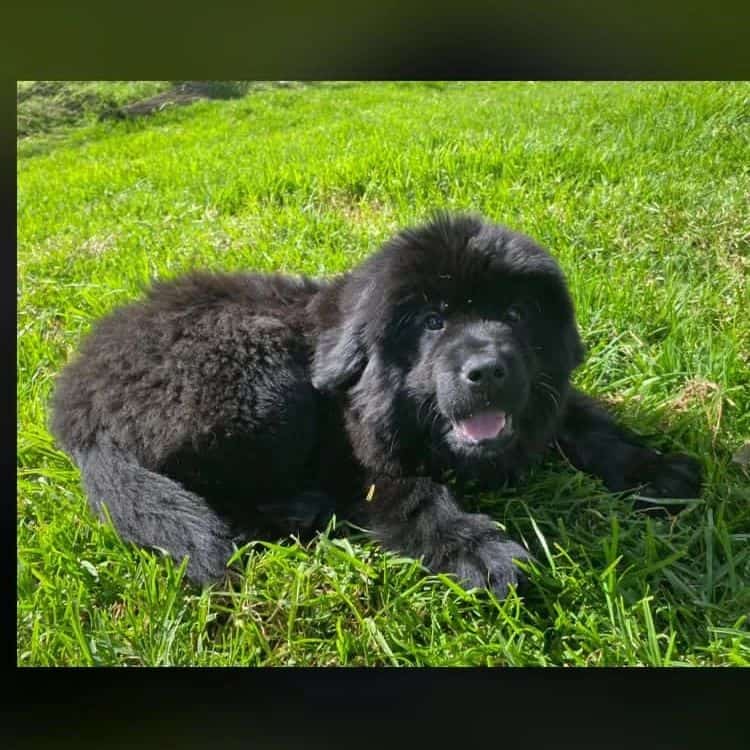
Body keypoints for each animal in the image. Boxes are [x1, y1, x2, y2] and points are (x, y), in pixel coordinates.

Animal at [53, 216, 704, 600]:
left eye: (517, 315)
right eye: (433, 322)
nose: (487, 370)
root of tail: (75, 406)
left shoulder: (545, 394)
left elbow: (588, 421)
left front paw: (656, 469)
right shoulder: (361, 459)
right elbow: (418, 497)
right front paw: (480, 552)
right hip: (262, 380)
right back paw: (300, 510)